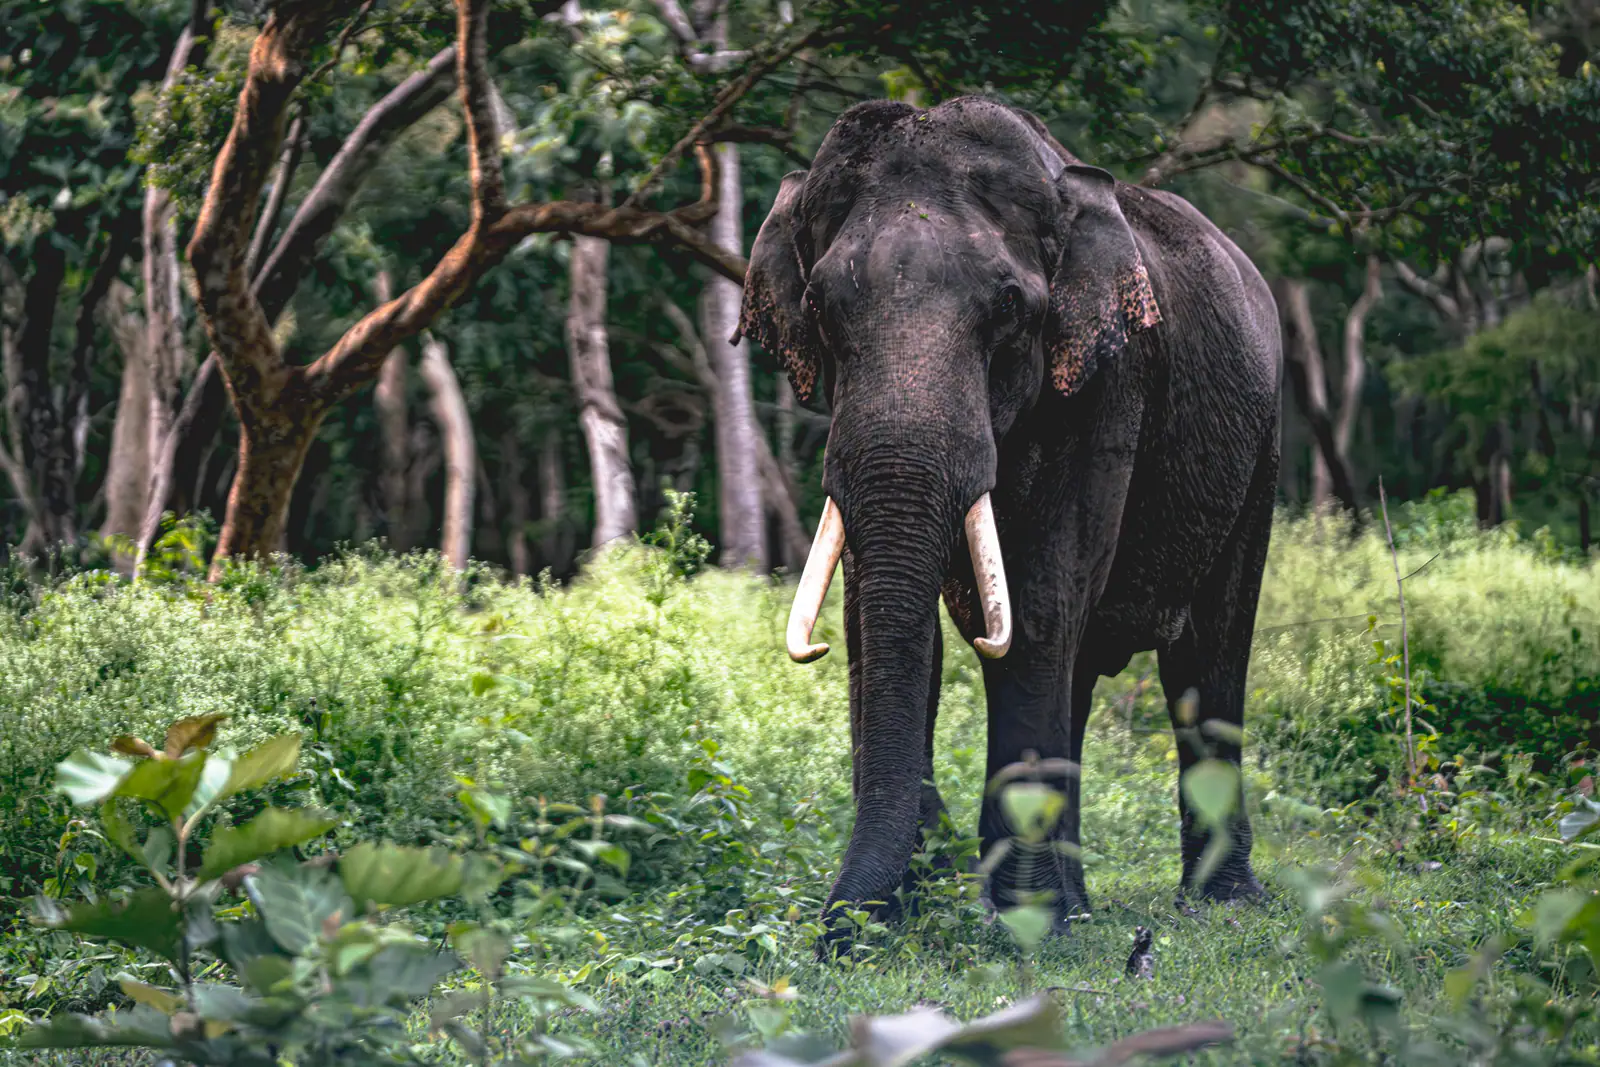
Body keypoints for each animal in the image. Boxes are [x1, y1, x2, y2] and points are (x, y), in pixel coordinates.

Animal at [735, 96, 1281, 956]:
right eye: (819, 307)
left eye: (1009, 309)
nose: (833, 936)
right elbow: (880, 620)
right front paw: (921, 909)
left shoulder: (1108, 379)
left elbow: (1044, 599)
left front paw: (1023, 923)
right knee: (1088, 676)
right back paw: (1084, 905)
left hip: (1260, 445)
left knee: (1208, 657)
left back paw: (1220, 903)